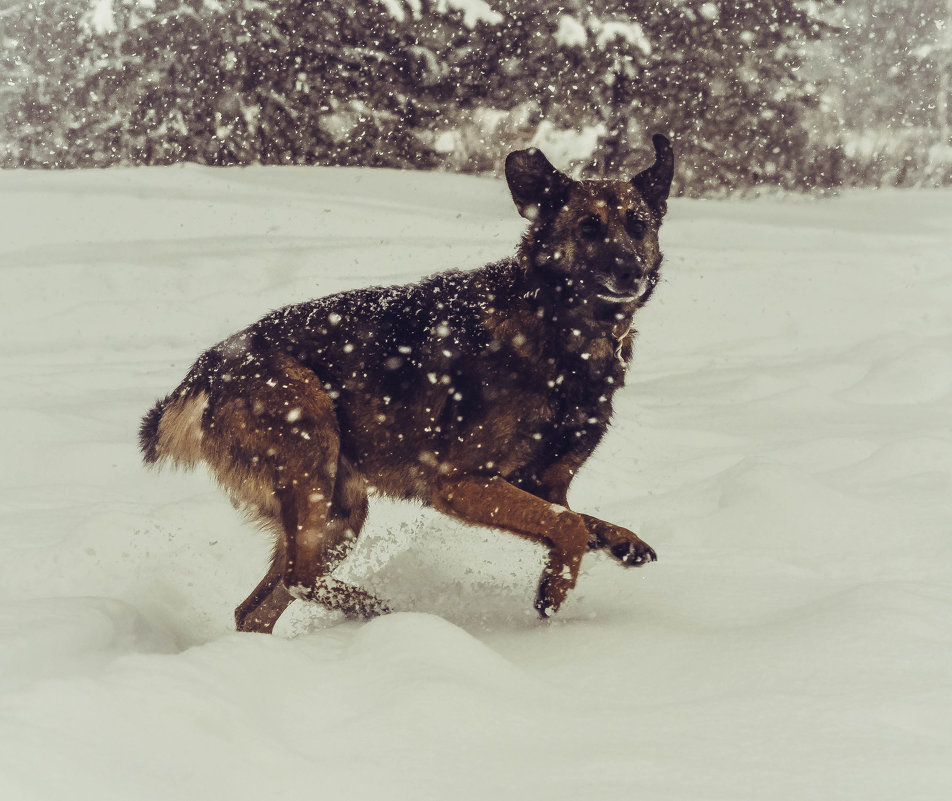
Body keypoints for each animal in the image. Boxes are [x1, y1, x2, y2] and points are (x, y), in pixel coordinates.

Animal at [143, 133, 676, 632]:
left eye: (638, 225)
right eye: (589, 227)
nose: (631, 271)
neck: (556, 321)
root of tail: (208, 368)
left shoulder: (545, 485)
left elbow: (581, 521)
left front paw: (620, 544)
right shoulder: (460, 482)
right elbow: (569, 527)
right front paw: (554, 591)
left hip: (341, 507)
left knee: (260, 604)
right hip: (311, 453)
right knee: (299, 576)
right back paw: (384, 610)